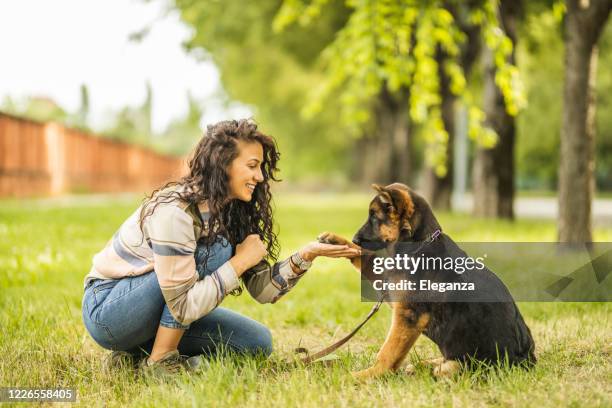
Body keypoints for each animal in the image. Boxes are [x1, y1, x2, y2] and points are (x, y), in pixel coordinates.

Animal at [320, 183, 536, 380]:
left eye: (374, 216)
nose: (355, 239)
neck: (419, 245)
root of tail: (527, 361)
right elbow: (366, 257)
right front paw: (338, 242)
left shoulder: (408, 316)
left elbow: (387, 353)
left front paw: (366, 375)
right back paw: (422, 364)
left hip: (471, 365)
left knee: (448, 367)